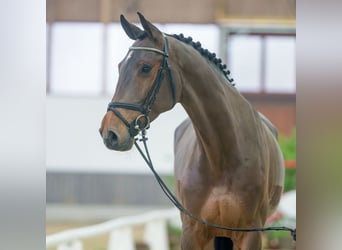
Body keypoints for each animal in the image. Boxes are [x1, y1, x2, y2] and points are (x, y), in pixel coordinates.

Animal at [99, 12, 286, 249]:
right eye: (120, 66)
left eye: (145, 68)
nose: (109, 132)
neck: (224, 155)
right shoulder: (192, 231)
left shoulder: (251, 234)